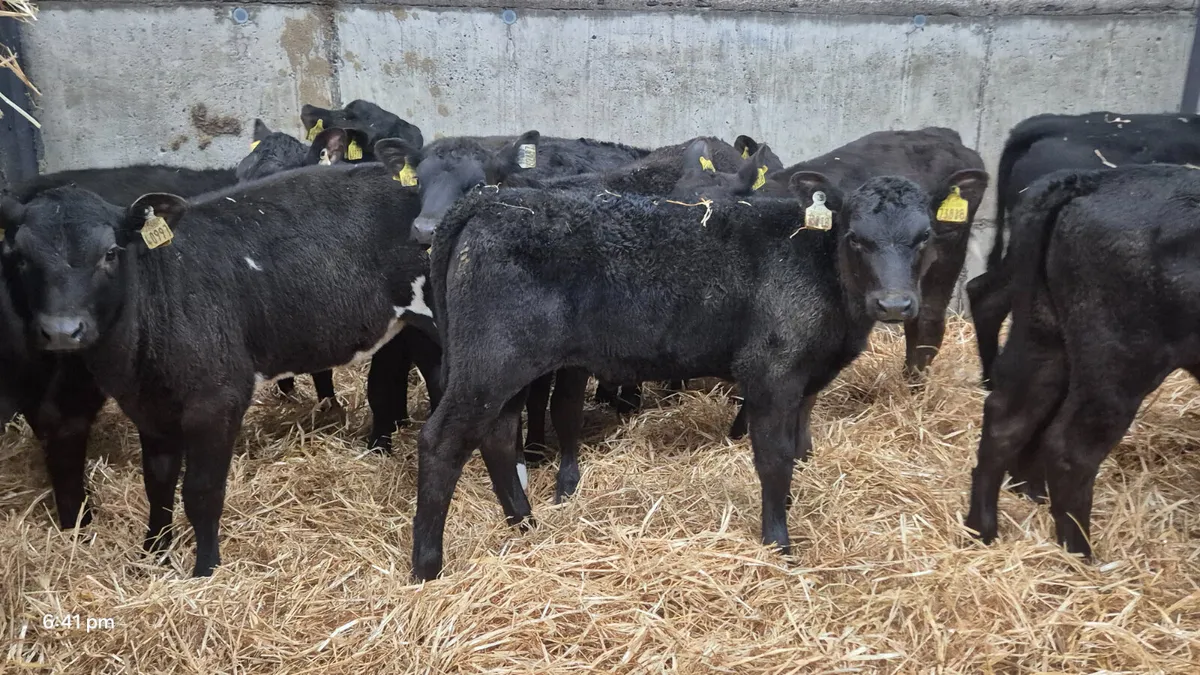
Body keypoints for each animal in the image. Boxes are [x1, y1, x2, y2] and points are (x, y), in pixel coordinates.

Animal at [0, 162, 438, 576]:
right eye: (20, 257)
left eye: (109, 252)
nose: (62, 330)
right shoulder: (150, 410)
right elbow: (157, 484)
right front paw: (153, 555)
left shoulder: (217, 400)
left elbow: (202, 492)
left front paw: (205, 569)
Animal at [407, 163, 988, 580]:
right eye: (855, 237)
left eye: (924, 235)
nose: (895, 304)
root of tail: (488, 199)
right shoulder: (772, 372)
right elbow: (774, 458)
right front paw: (778, 544)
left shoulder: (806, 380)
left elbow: (800, 450)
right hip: (492, 361)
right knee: (443, 441)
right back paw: (428, 566)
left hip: (507, 367)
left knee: (497, 435)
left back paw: (524, 525)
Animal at [965, 164, 1200, 559]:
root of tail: (1090, 180)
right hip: (1120, 361)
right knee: (1070, 449)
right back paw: (1080, 555)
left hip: (1044, 333)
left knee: (1006, 418)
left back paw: (982, 528)